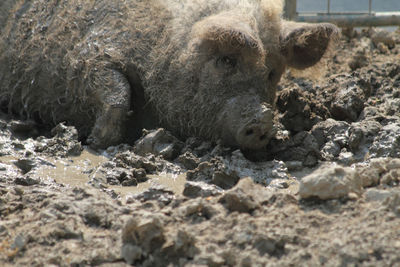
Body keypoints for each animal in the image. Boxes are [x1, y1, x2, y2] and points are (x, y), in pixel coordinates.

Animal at [0, 0, 338, 151]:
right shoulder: (85, 57)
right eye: (227, 60)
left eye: (271, 72)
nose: (263, 119)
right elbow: (115, 90)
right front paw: (97, 142)